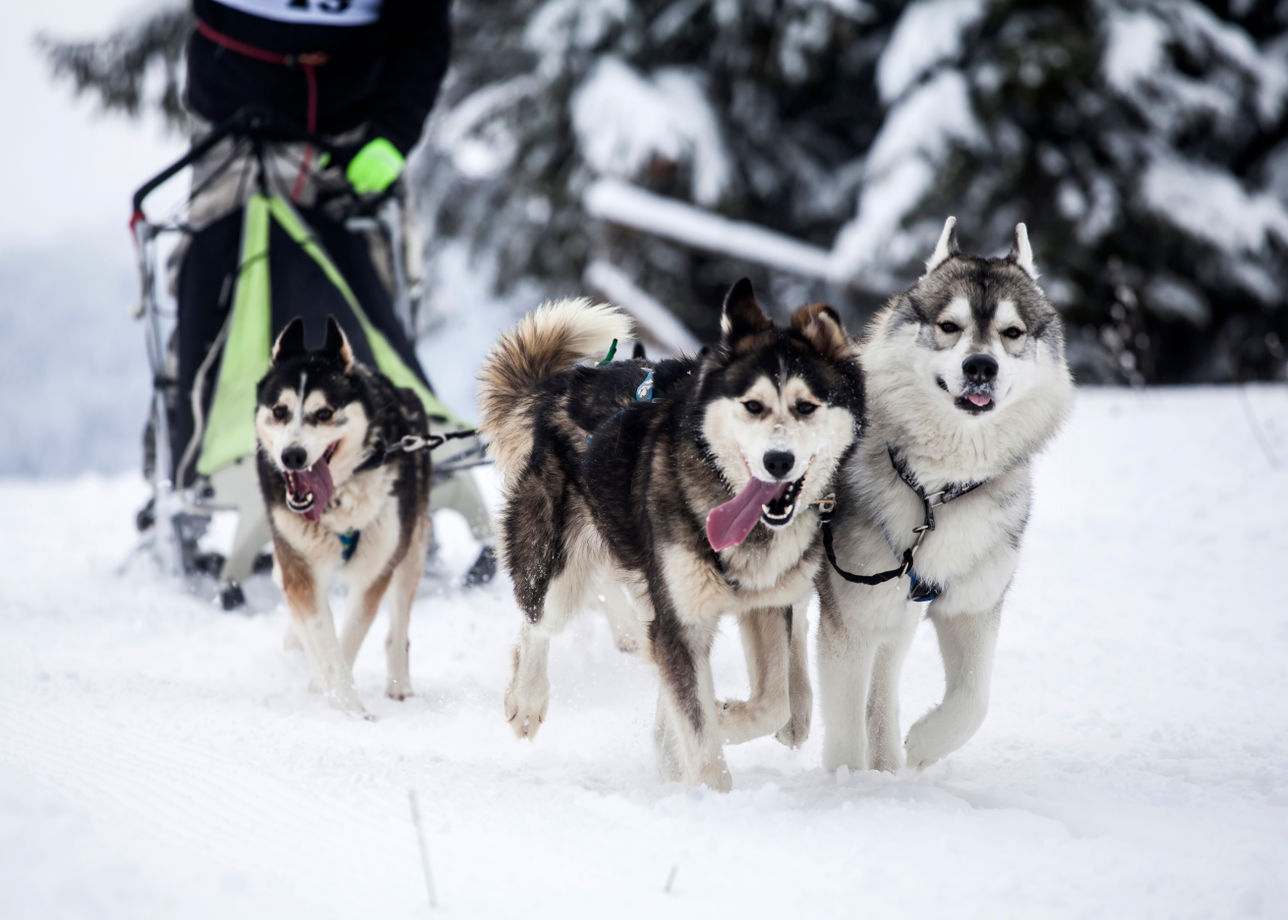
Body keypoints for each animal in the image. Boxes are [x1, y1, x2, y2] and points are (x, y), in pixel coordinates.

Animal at [255, 319, 432, 711]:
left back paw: (399, 684)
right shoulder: (298, 566)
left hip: (408, 552)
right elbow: (323, 638)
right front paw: (344, 703)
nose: (292, 455)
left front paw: (341, 701)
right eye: (279, 411)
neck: (334, 502)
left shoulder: (375, 570)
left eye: (323, 413)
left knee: (398, 626)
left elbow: (349, 637)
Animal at [479, 279, 860, 788]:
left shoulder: (763, 605)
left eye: (806, 407)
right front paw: (710, 790)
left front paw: (723, 717)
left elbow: (771, 705)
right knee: (537, 622)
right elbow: (701, 734)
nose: (778, 460)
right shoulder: (680, 624)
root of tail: (567, 385)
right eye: (752, 406)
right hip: (560, 569)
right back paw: (527, 700)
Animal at [814, 219, 1076, 767]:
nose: (980, 366)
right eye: (949, 326)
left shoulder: (972, 607)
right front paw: (845, 783)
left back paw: (890, 762)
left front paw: (922, 745)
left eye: (1012, 333)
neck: (935, 490)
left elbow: (973, 702)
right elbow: (845, 732)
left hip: (900, 614)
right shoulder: (849, 620)